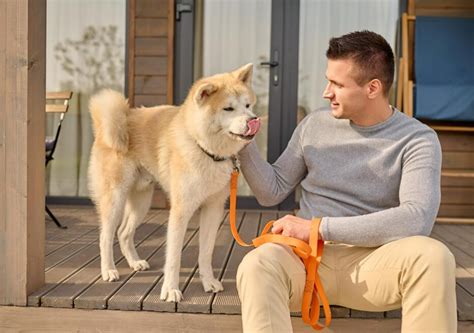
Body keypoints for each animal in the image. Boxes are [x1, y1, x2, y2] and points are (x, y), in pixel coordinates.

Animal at [87, 62, 262, 300]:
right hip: (115, 198)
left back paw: (135, 262)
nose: (253, 120)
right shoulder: (181, 210)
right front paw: (170, 289)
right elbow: (174, 257)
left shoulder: (213, 208)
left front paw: (208, 281)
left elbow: (205, 253)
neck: (206, 150)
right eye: (228, 109)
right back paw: (109, 270)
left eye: (247, 105)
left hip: (142, 202)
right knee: (106, 235)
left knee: (123, 233)